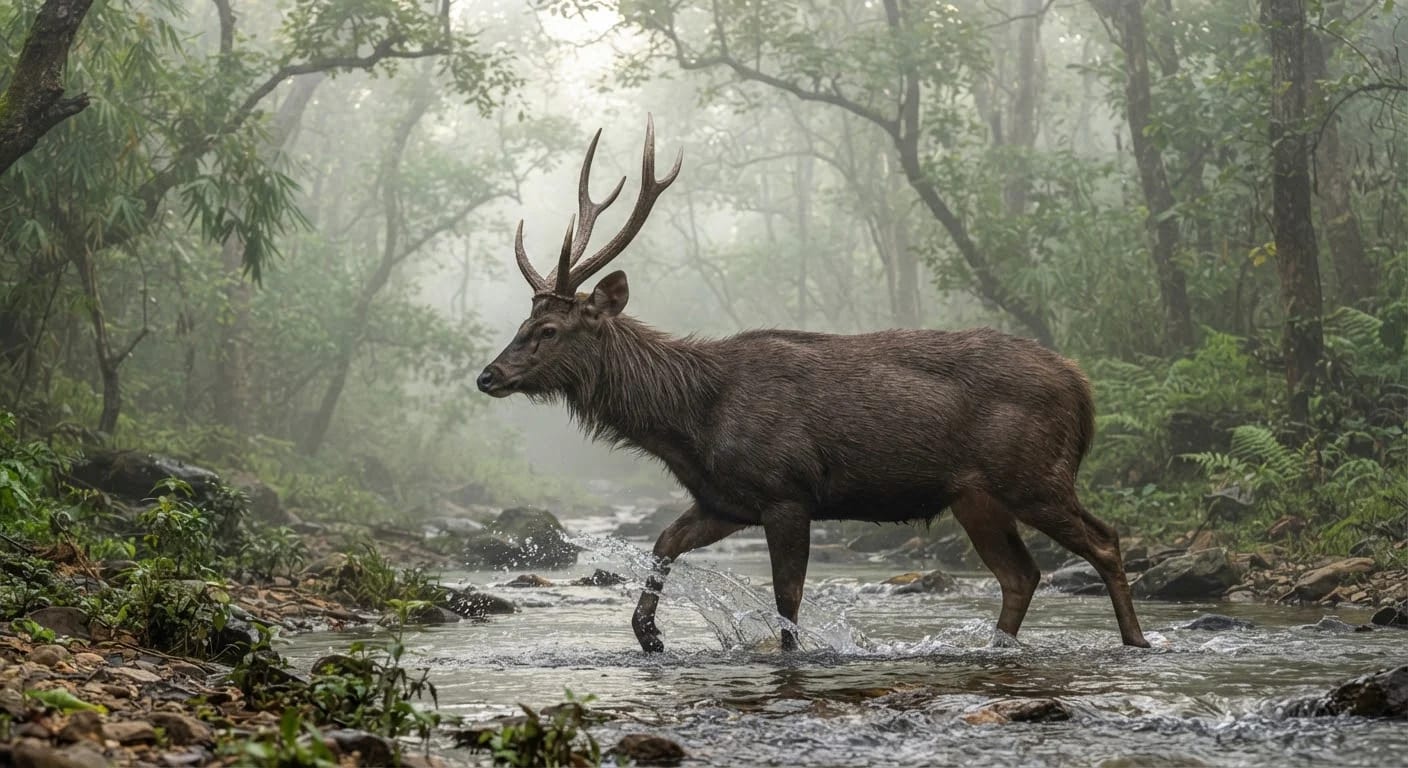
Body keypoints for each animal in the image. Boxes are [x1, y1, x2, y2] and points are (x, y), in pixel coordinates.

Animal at [477, 118, 1150, 653]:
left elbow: (788, 598)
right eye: (522, 323)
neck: (692, 421)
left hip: (1034, 473)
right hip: (976, 495)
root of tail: (1083, 388)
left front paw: (787, 654)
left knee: (1106, 541)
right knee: (1022, 574)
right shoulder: (724, 500)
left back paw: (1135, 642)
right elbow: (665, 540)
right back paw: (1001, 648)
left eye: (549, 329)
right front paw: (649, 634)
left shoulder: (787, 490)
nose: (489, 375)